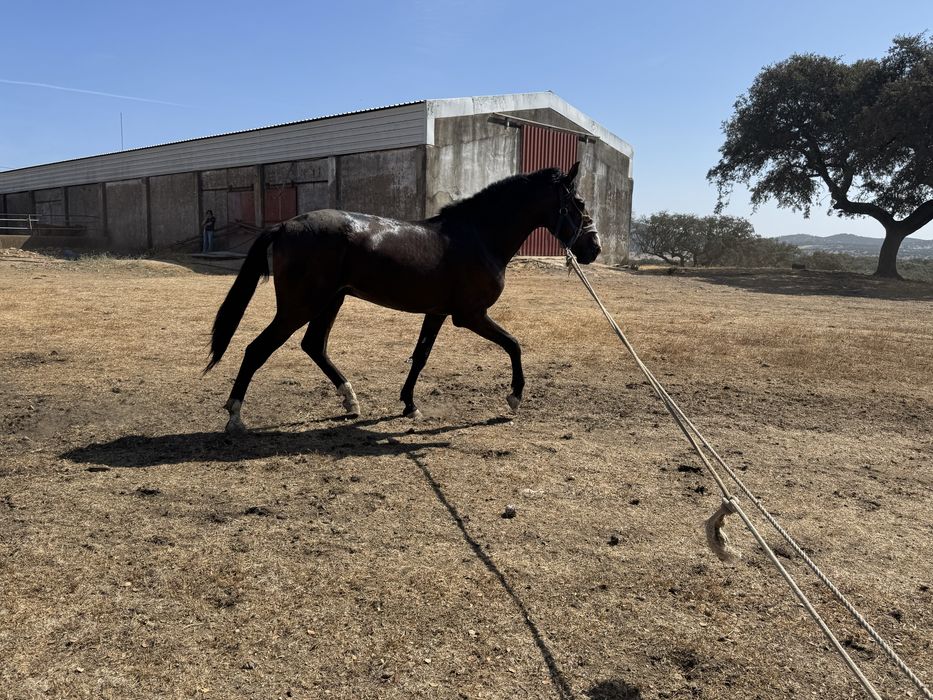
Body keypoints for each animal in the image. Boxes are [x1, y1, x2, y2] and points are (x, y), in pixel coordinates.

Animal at [205, 162, 601, 432]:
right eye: (578, 202)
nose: (594, 248)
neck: (477, 236)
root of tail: (285, 224)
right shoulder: (470, 315)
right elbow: (514, 344)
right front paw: (515, 396)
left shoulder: (438, 313)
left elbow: (420, 356)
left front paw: (410, 405)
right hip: (300, 306)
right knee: (257, 349)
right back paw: (235, 416)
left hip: (330, 301)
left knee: (314, 345)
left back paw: (350, 399)